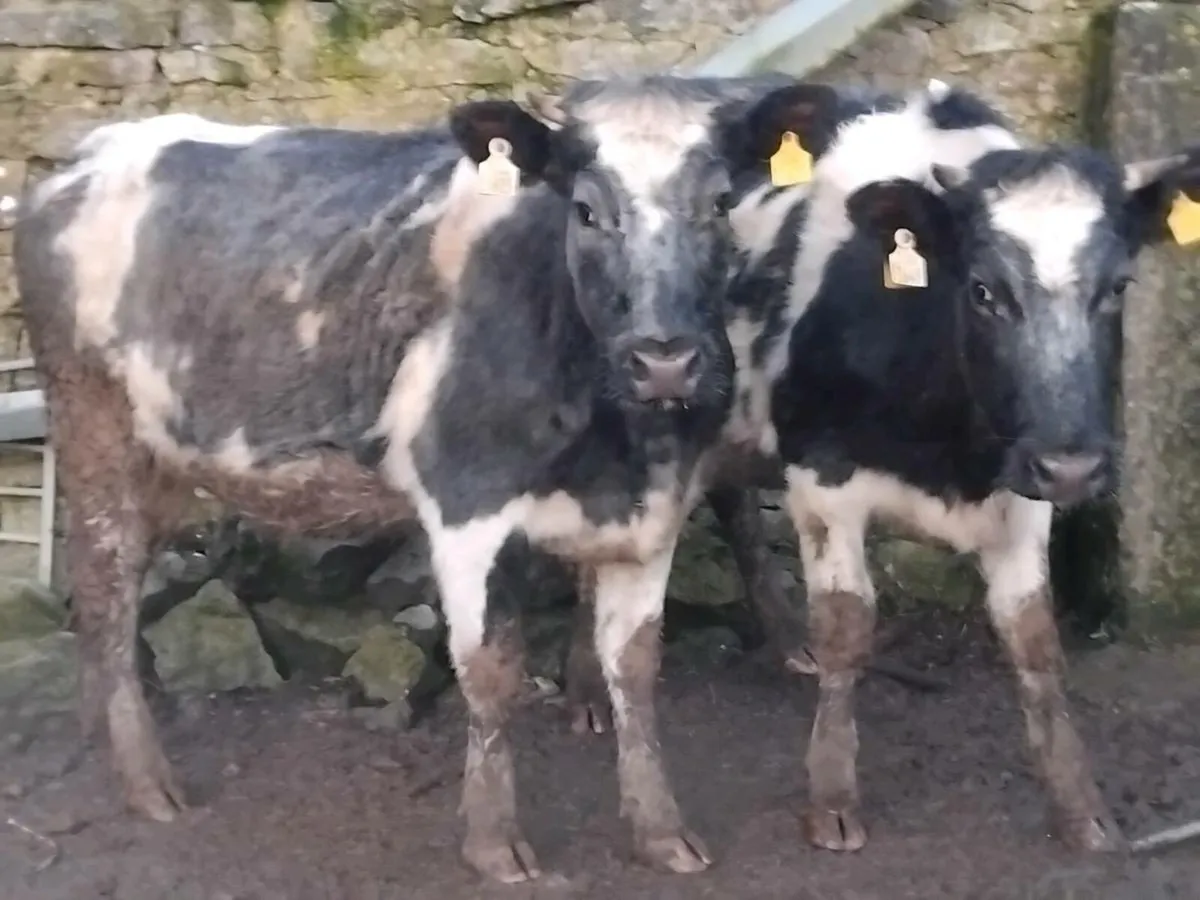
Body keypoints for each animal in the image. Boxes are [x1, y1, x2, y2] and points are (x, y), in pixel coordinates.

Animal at [13, 73, 851, 883]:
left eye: (720, 204)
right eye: (585, 210)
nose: (665, 358)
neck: (612, 441)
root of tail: (84, 156)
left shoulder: (653, 512)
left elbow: (637, 668)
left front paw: (660, 831)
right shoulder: (466, 504)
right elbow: (489, 671)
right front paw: (495, 843)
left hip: (161, 458)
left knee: (106, 589)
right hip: (94, 425)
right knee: (106, 587)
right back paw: (145, 781)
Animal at [561, 77, 1200, 854]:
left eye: (1117, 287)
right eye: (984, 290)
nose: (1073, 466)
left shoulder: (1023, 490)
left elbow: (1035, 643)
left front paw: (1080, 807)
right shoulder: (823, 476)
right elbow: (847, 627)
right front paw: (833, 797)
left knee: (735, 508)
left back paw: (785, 641)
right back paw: (586, 691)